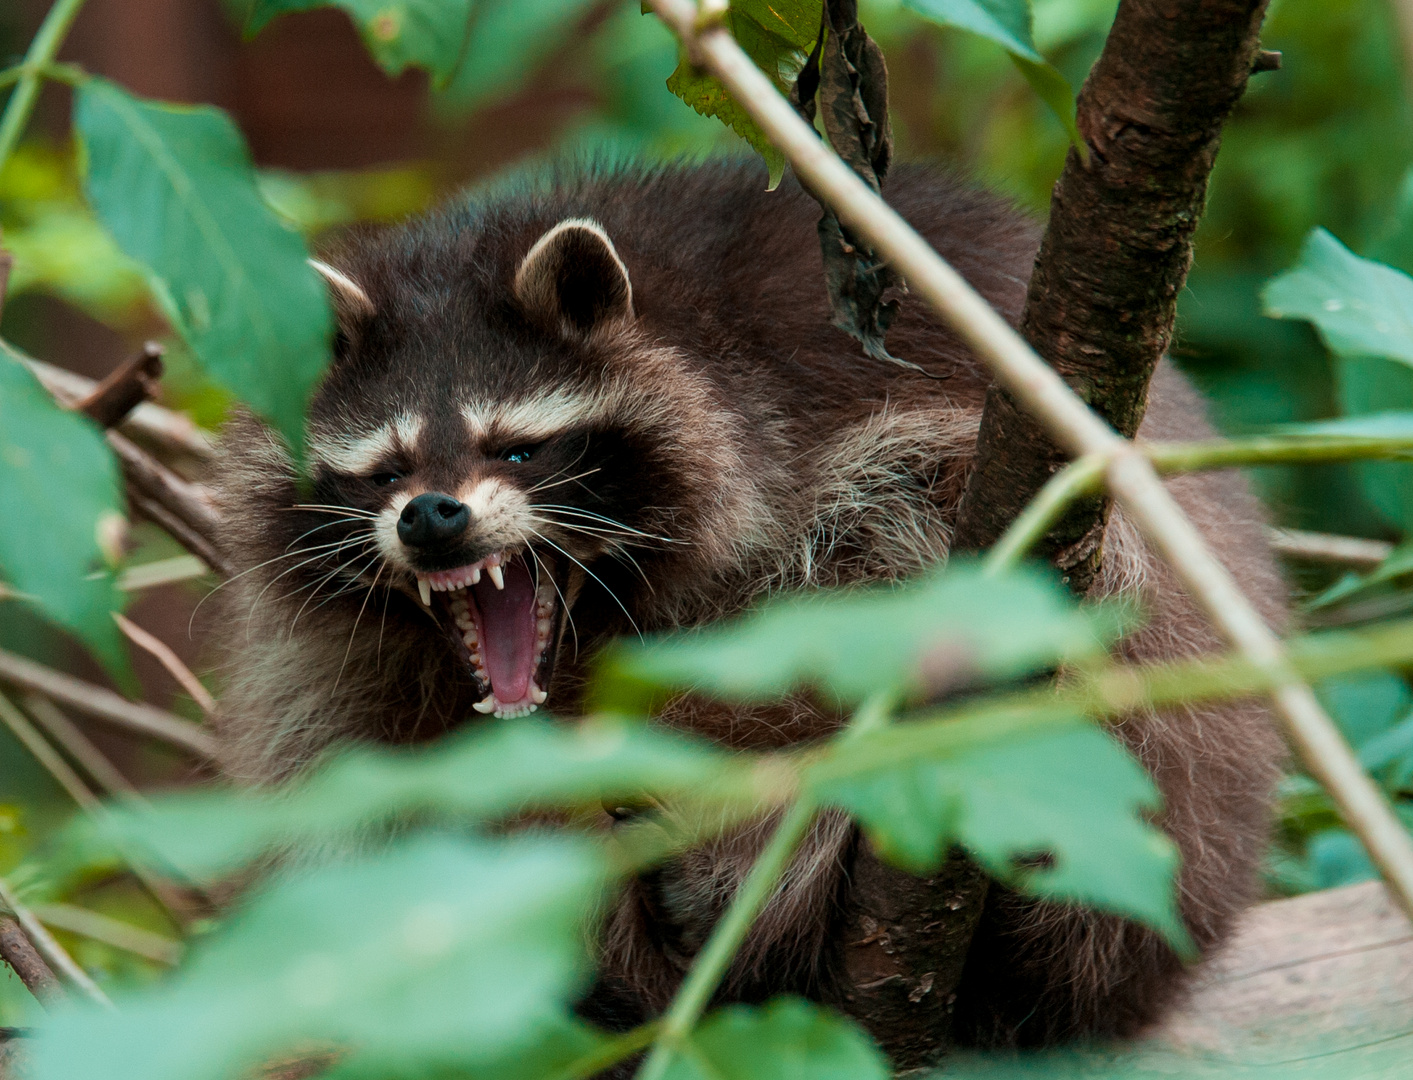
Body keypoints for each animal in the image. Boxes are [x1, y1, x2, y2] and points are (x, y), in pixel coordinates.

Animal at [211, 160, 1294, 1057]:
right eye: (386, 470)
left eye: (515, 447)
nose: (431, 517)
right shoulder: (351, 665)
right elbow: (347, 753)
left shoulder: (828, 433)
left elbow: (838, 617)